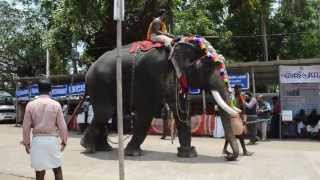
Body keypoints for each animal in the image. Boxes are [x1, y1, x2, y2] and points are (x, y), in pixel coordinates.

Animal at [80, 37, 240, 161]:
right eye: (208, 68)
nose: (228, 155)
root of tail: (90, 68)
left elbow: (181, 111)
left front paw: (188, 154)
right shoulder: (149, 75)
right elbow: (146, 112)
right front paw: (134, 153)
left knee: (107, 114)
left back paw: (103, 148)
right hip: (100, 84)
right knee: (105, 112)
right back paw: (88, 147)